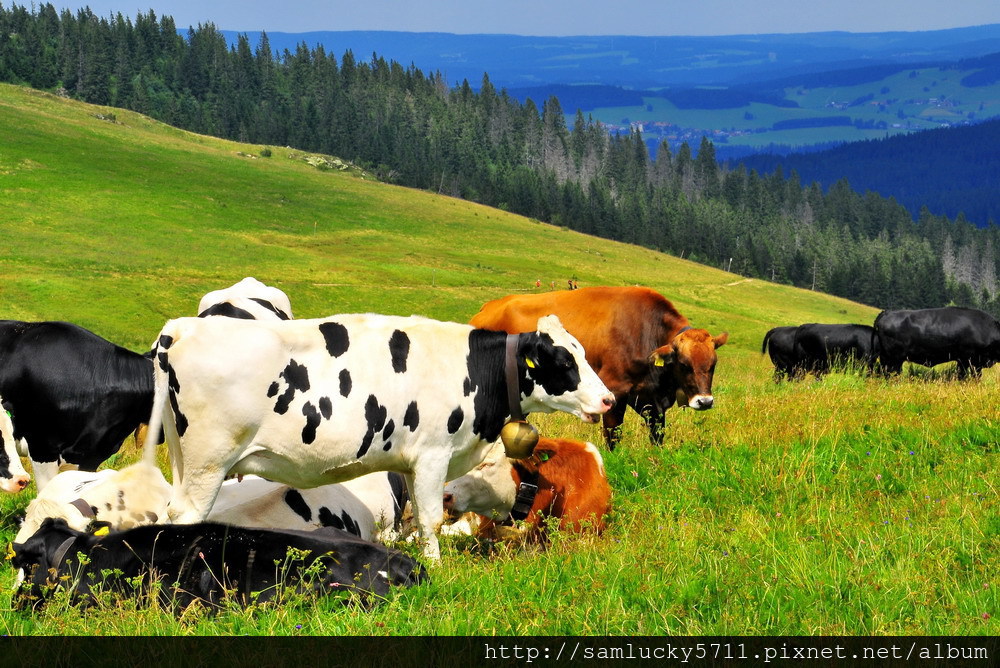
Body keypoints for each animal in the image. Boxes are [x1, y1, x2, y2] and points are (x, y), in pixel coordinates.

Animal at [144, 314, 612, 560]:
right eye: (564, 361)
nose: (607, 399)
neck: (474, 370)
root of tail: (184, 327)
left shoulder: (409, 462)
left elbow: (416, 519)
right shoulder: (434, 455)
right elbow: (432, 518)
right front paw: (435, 568)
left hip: (186, 462)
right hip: (209, 463)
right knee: (185, 519)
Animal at [468, 288, 728, 448]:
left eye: (713, 364)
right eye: (684, 364)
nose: (705, 401)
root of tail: (487, 308)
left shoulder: (651, 402)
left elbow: (657, 437)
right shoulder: (616, 392)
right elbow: (613, 436)